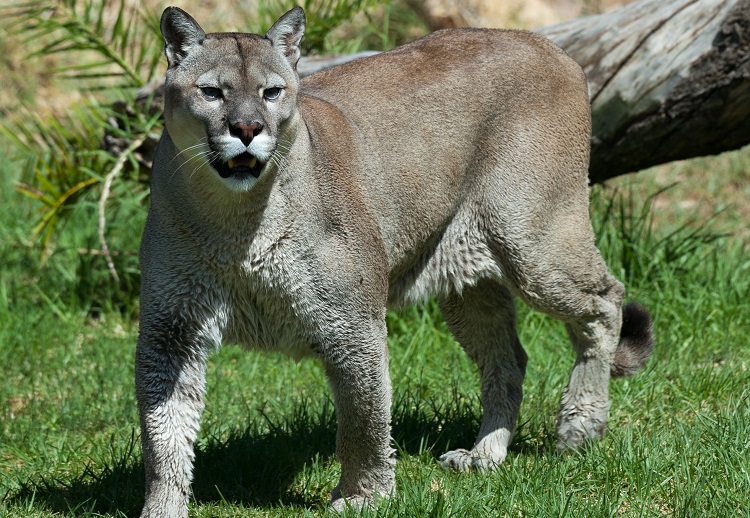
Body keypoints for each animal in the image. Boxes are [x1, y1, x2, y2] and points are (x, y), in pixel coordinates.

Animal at [138, 6, 656, 516]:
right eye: (211, 92)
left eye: (271, 92)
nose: (247, 130)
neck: (237, 223)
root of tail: (545, 43)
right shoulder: (172, 330)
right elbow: (162, 431)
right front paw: (162, 507)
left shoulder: (350, 321)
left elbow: (364, 414)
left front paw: (364, 496)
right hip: (468, 281)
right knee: (510, 358)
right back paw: (484, 455)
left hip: (533, 243)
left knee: (605, 302)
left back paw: (579, 425)